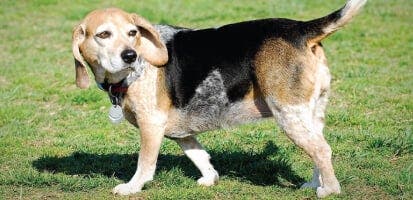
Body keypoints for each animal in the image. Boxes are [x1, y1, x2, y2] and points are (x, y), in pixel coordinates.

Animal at [72, 0, 366, 197]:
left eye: (132, 33)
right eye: (103, 35)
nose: (130, 56)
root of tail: (301, 30)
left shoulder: (150, 126)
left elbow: (145, 164)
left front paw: (131, 187)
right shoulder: (180, 133)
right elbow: (199, 156)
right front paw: (210, 179)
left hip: (289, 114)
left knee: (322, 150)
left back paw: (329, 190)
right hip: (309, 115)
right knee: (318, 149)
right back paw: (315, 184)